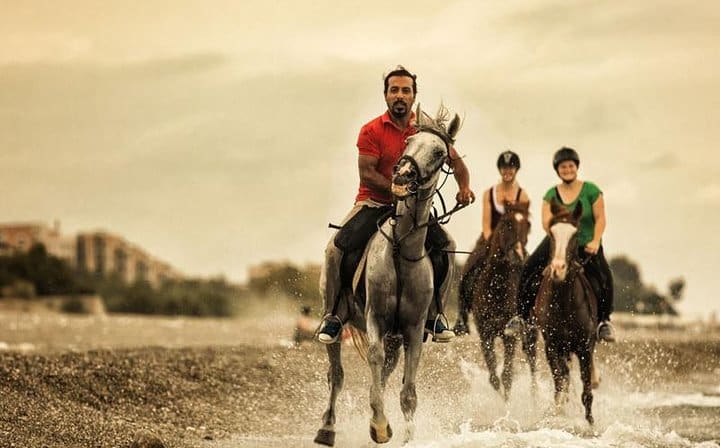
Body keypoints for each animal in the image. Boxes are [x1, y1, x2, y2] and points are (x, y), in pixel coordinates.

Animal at [466, 202, 537, 400]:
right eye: (507, 223)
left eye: (528, 225)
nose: (518, 255)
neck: (497, 288)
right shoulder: (485, 334)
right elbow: (494, 378)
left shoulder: (510, 335)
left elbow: (507, 376)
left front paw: (507, 404)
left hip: (530, 332)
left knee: (532, 361)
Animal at [533, 200, 597, 424]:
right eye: (552, 234)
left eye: (575, 234)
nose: (558, 269)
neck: (564, 305)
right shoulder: (552, 347)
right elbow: (560, 383)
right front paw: (559, 412)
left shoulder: (585, 348)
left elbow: (586, 392)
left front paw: (590, 424)